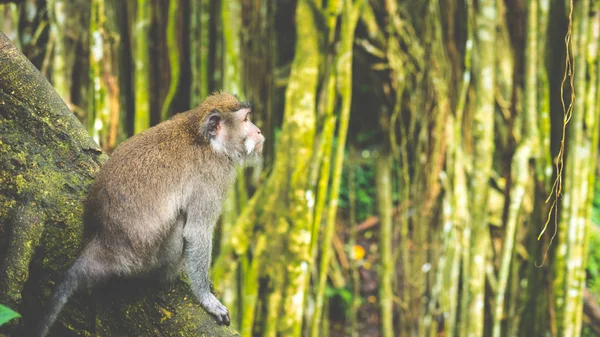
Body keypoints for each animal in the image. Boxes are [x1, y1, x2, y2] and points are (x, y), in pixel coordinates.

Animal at [34, 92, 264, 336]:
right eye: (246, 120)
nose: (259, 131)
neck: (204, 139)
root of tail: (100, 242)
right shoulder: (213, 176)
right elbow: (196, 232)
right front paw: (206, 298)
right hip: (147, 261)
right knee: (178, 224)